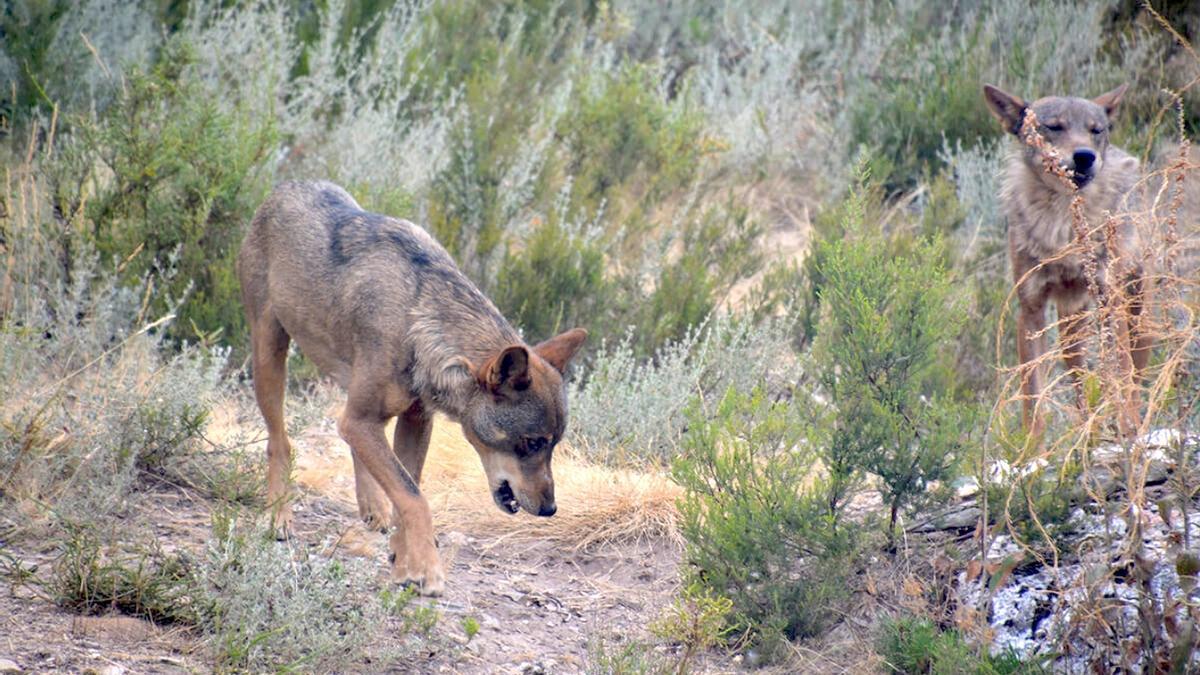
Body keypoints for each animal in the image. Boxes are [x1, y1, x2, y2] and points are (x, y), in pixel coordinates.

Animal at [235, 180, 585, 593]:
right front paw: (427, 571)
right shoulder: (362, 420)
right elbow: (415, 498)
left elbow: (408, 487)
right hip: (270, 357)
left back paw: (372, 507)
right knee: (280, 441)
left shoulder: (416, 420)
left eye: (554, 445)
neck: (419, 322)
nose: (550, 509)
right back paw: (279, 516)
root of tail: (288, 186)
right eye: (532, 443)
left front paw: (403, 562)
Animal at [984, 82, 1152, 429]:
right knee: (1079, 377)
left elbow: (1122, 376)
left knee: (1133, 376)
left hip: (1136, 313)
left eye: (1096, 130)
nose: (1085, 156)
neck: (1061, 225)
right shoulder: (1030, 312)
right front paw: (1030, 445)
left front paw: (1127, 431)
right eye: (1054, 127)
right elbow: (1033, 401)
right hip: (1071, 326)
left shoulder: (1110, 302)